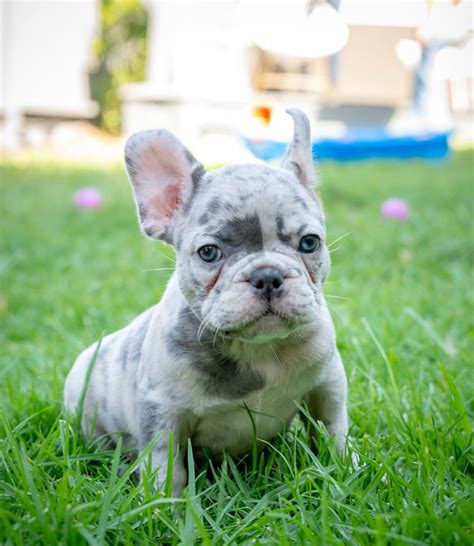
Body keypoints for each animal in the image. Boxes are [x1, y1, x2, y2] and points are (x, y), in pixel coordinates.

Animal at [64, 107, 348, 492]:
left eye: (309, 243)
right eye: (209, 253)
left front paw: (348, 472)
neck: (257, 350)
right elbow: (168, 471)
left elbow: (334, 434)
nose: (267, 275)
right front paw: (168, 504)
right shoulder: (164, 416)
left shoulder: (327, 388)